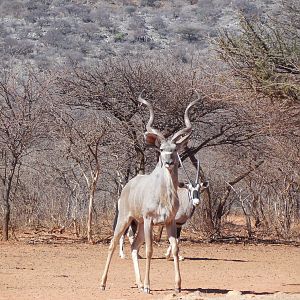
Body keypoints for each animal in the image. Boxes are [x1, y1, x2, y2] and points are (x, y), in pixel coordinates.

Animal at [100, 91, 199, 292]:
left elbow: (175, 248)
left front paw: (177, 286)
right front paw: (148, 286)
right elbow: (149, 249)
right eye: (161, 149)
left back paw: (137, 283)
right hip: (126, 219)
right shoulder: (149, 220)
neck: (164, 196)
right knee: (114, 243)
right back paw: (104, 283)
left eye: (175, 149)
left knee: (134, 246)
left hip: (137, 223)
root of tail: (126, 188)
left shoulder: (169, 221)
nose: (168, 162)